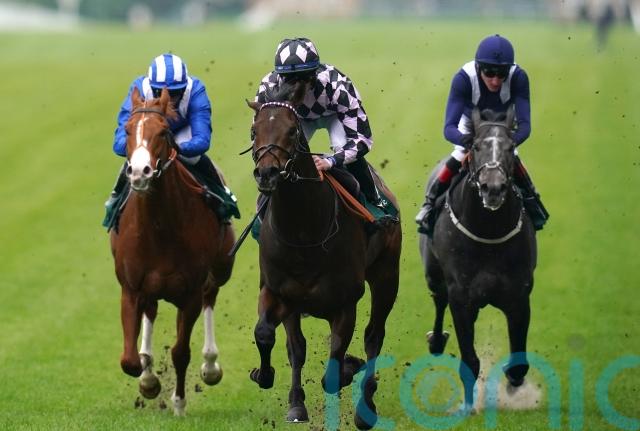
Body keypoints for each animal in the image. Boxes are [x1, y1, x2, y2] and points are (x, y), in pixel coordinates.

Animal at [110, 87, 235, 415]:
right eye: (127, 129)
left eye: (164, 132)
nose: (139, 172)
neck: (159, 228)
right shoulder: (130, 288)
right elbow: (129, 360)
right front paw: (149, 382)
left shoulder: (190, 292)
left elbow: (180, 352)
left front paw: (178, 403)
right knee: (151, 312)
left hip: (220, 269)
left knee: (210, 296)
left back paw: (210, 366)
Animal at [245, 80, 402, 429]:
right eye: (254, 130)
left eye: (292, 131)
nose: (267, 174)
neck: (304, 231)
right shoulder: (278, 292)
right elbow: (271, 336)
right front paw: (272, 382)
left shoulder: (345, 302)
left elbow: (333, 369)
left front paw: (349, 368)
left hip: (387, 275)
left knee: (374, 336)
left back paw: (365, 407)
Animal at [419, 106, 537, 411]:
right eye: (475, 146)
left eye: (510, 147)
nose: (492, 187)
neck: (489, 230)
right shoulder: (462, 298)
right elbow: (469, 360)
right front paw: (468, 406)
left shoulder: (519, 296)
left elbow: (519, 361)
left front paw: (514, 385)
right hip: (433, 275)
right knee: (438, 300)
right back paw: (436, 341)